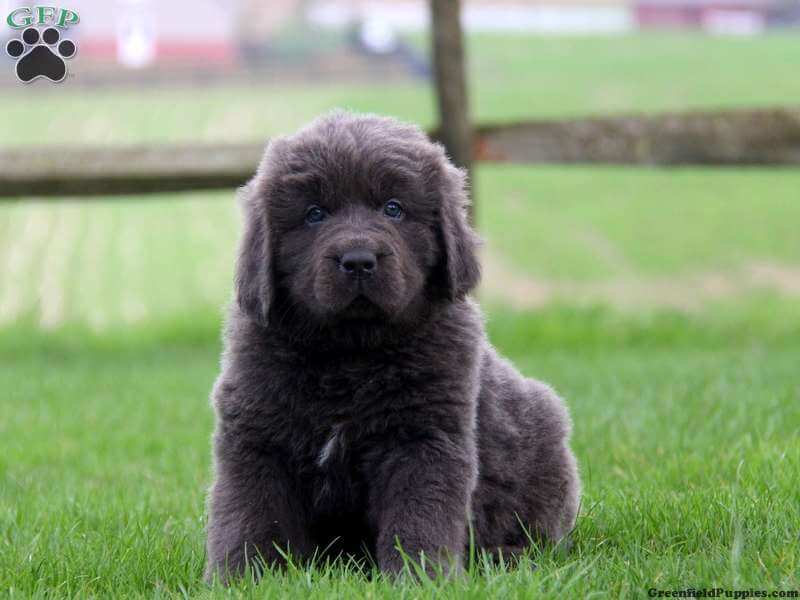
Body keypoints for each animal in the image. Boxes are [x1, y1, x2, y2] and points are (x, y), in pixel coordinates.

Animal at [203, 112, 580, 580]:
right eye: (314, 214)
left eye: (393, 208)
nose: (358, 260)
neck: (348, 357)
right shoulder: (256, 437)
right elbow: (249, 516)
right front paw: (241, 579)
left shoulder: (422, 440)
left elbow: (418, 516)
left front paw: (420, 579)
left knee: (542, 537)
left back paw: (505, 557)